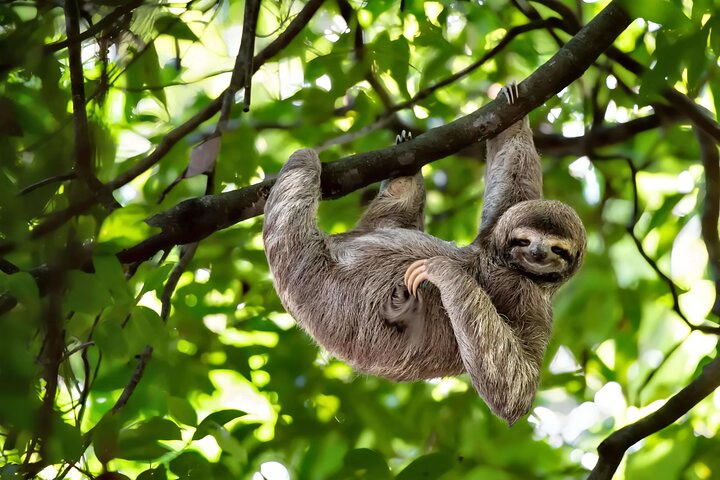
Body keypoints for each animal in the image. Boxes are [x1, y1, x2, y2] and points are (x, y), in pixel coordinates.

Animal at [262, 83, 586, 425]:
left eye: (558, 249)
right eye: (524, 240)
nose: (538, 253)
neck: (500, 261)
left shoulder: (531, 300)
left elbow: (515, 389)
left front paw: (443, 270)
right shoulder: (495, 229)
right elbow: (514, 173)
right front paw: (513, 104)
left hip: (306, 276)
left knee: (297, 187)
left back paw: (306, 161)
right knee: (390, 214)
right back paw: (405, 169)